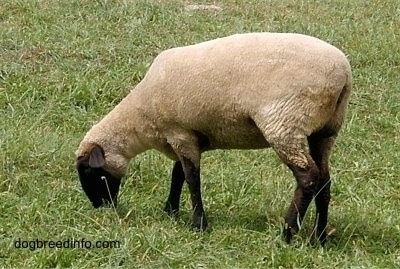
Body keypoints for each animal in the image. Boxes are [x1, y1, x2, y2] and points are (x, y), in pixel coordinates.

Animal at [75, 31, 350, 245]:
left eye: (91, 172)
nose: (101, 206)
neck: (142, 117)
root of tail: (344, 75)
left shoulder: (180, 133)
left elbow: (191, 179)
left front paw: (198, 224)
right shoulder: (189, 136)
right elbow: (178, 174)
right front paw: (171, 211)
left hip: (284, 123)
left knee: (308, 177)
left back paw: (287, 232)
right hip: (325, 129)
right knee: (324, 181)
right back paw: (319, 238)